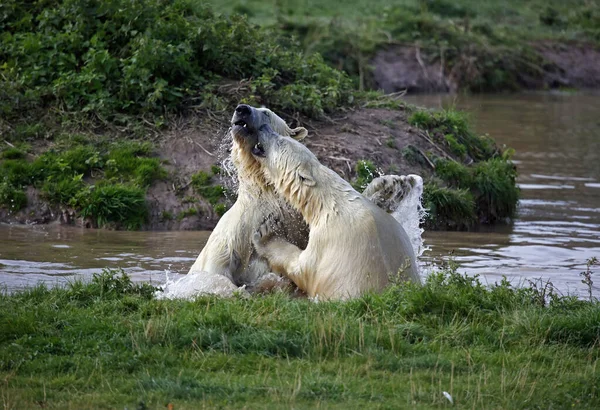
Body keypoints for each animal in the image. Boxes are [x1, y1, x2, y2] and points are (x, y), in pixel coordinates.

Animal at [246, 123, 420, 300]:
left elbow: (302, 268)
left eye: (280, 141)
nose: (264, 127)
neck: (329, 203)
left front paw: (267, 234)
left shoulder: (325, 239)